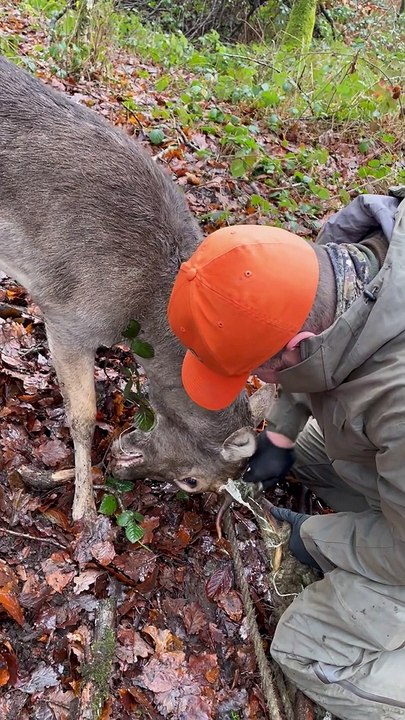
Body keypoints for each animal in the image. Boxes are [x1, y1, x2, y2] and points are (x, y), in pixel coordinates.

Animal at [0, 55, 273, 523]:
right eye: (193, 481)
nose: (120, 465)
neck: (143, 310)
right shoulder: (66, 315)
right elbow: (83, 416)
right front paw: (83, 507)